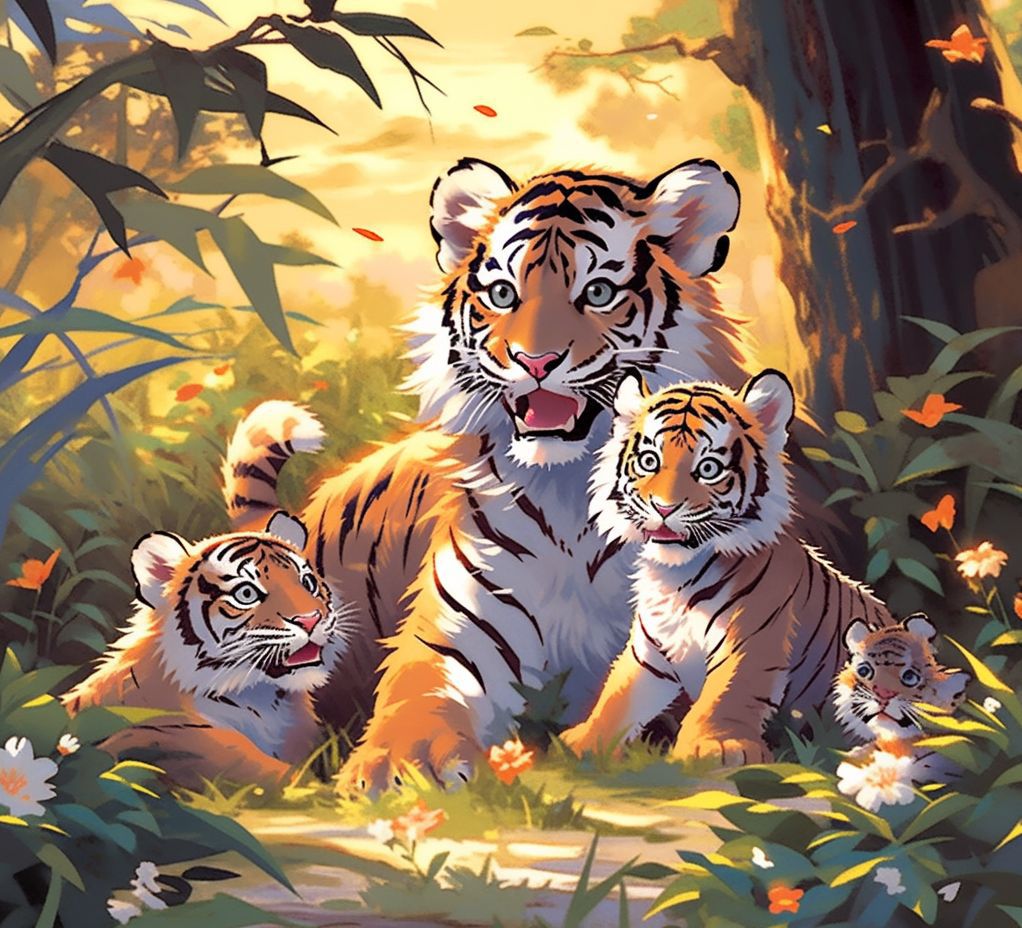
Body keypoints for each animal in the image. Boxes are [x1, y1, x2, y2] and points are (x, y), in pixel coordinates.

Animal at [225, 158, 755, 793]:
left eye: (598, 292)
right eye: (503, 294)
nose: (534, 362)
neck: (573, 500)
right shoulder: (463, 621)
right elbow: (420, 691)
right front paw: (403, 765)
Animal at [560, 369, 896, 766]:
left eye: (708, 468)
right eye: (649, 461)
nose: (663, 507)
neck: (677, 576)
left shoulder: (751, 640)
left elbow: (727, 693)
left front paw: (716, 746)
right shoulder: (649, 652)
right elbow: (619, 693)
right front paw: (585, 740)